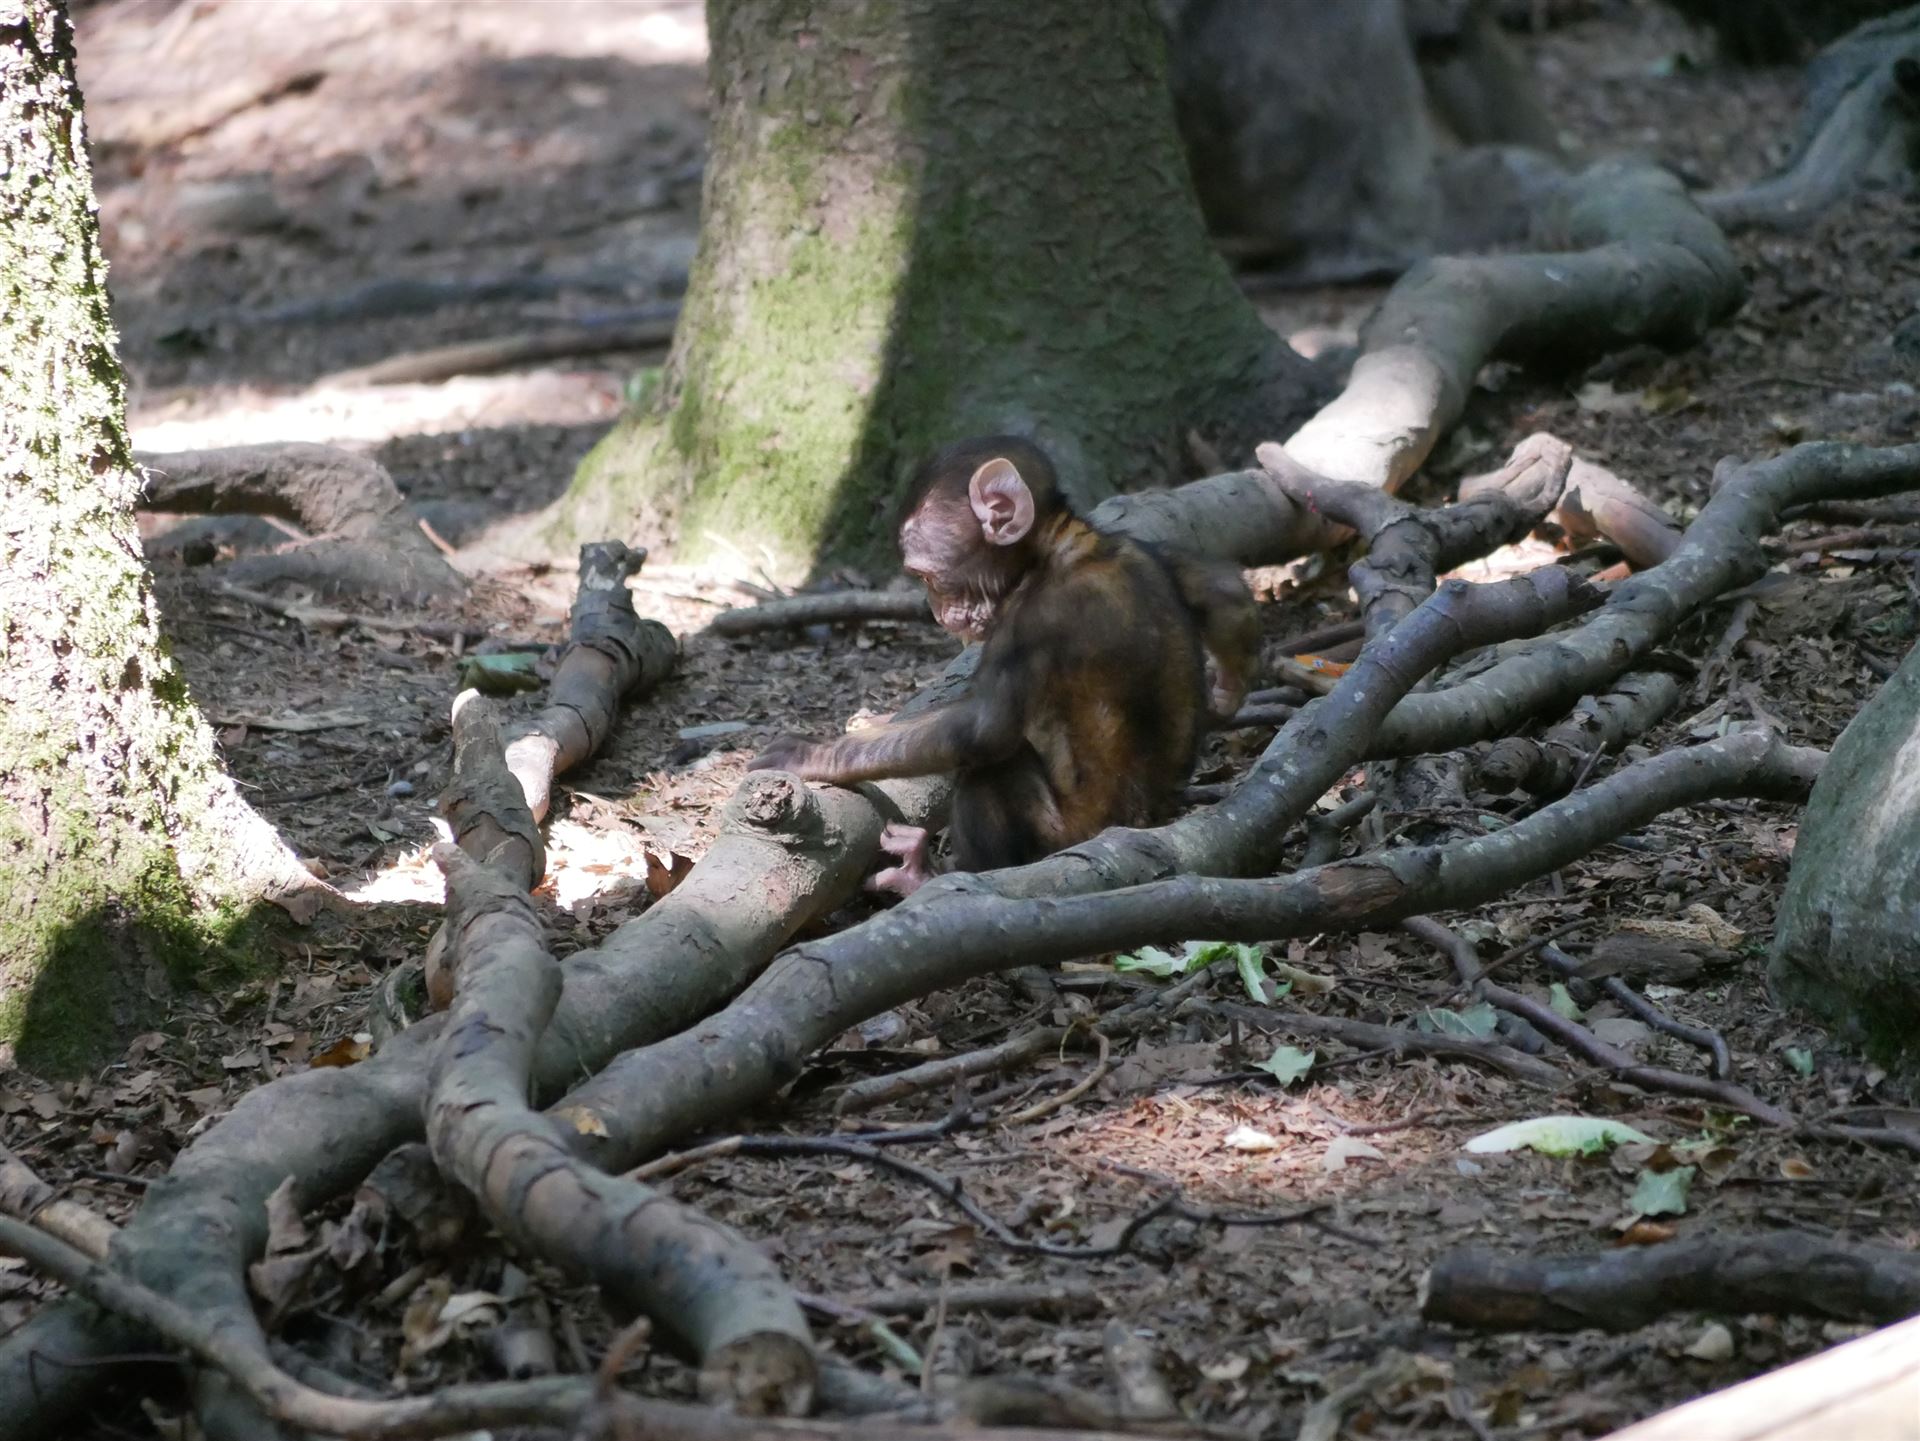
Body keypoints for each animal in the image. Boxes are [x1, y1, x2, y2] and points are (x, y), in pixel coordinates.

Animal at [748, 436, 1257, 896]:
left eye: (927, 575)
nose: (936, 611)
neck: (1062, 550)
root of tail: (1150, 823)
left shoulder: (1029, 622)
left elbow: (983, 728)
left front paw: (813, 754)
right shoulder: (1140, 547)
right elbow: (1219, 588)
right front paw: (1230, 685)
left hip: (1055, 839)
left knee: (992, 769)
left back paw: (927, 874)